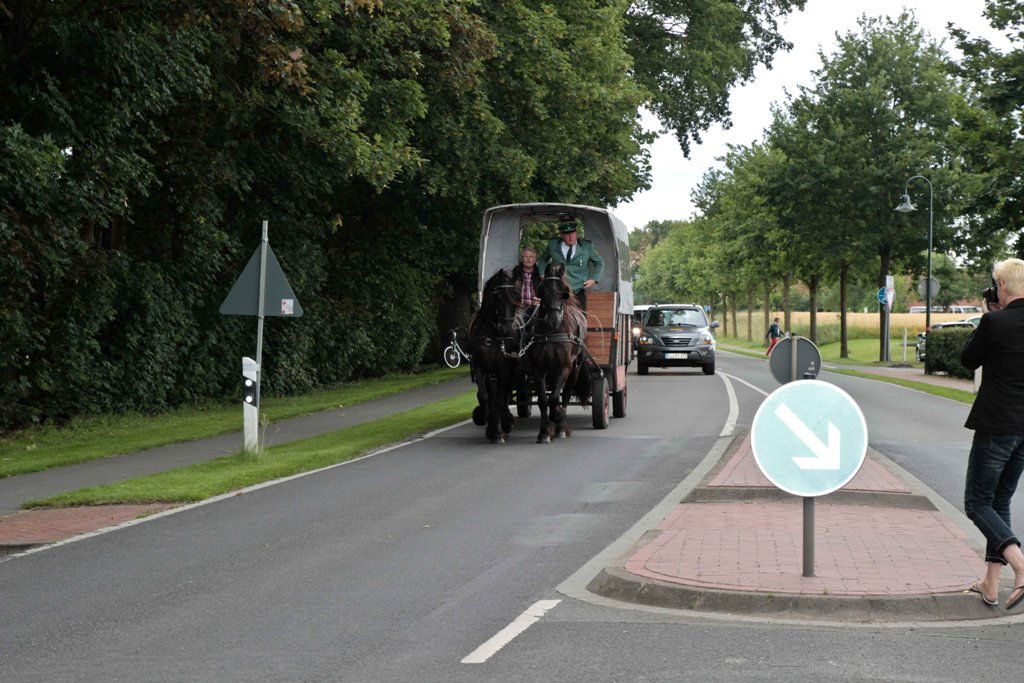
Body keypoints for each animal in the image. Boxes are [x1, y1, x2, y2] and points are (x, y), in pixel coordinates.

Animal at [467, 268, 520, 443]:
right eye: (497, 297)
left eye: (516, 297)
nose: (507, 330)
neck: (493, 335)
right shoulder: (481, 367)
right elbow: (484, 396)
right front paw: (488, 424)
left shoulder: (505, 369)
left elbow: (498, 400)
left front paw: (497, 432)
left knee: (504, 395)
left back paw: (506, 421)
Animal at [522, 262, 590, 443]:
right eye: (542, 290)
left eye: (563, 292)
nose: (554, 320)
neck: (551, 333)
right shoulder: (538, 370)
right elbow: (543, 400)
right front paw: (544, 432)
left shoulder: (563, 368)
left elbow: (554, 399)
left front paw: (557, 418)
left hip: (575, 369)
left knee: (565, 395)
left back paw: (560, 427)